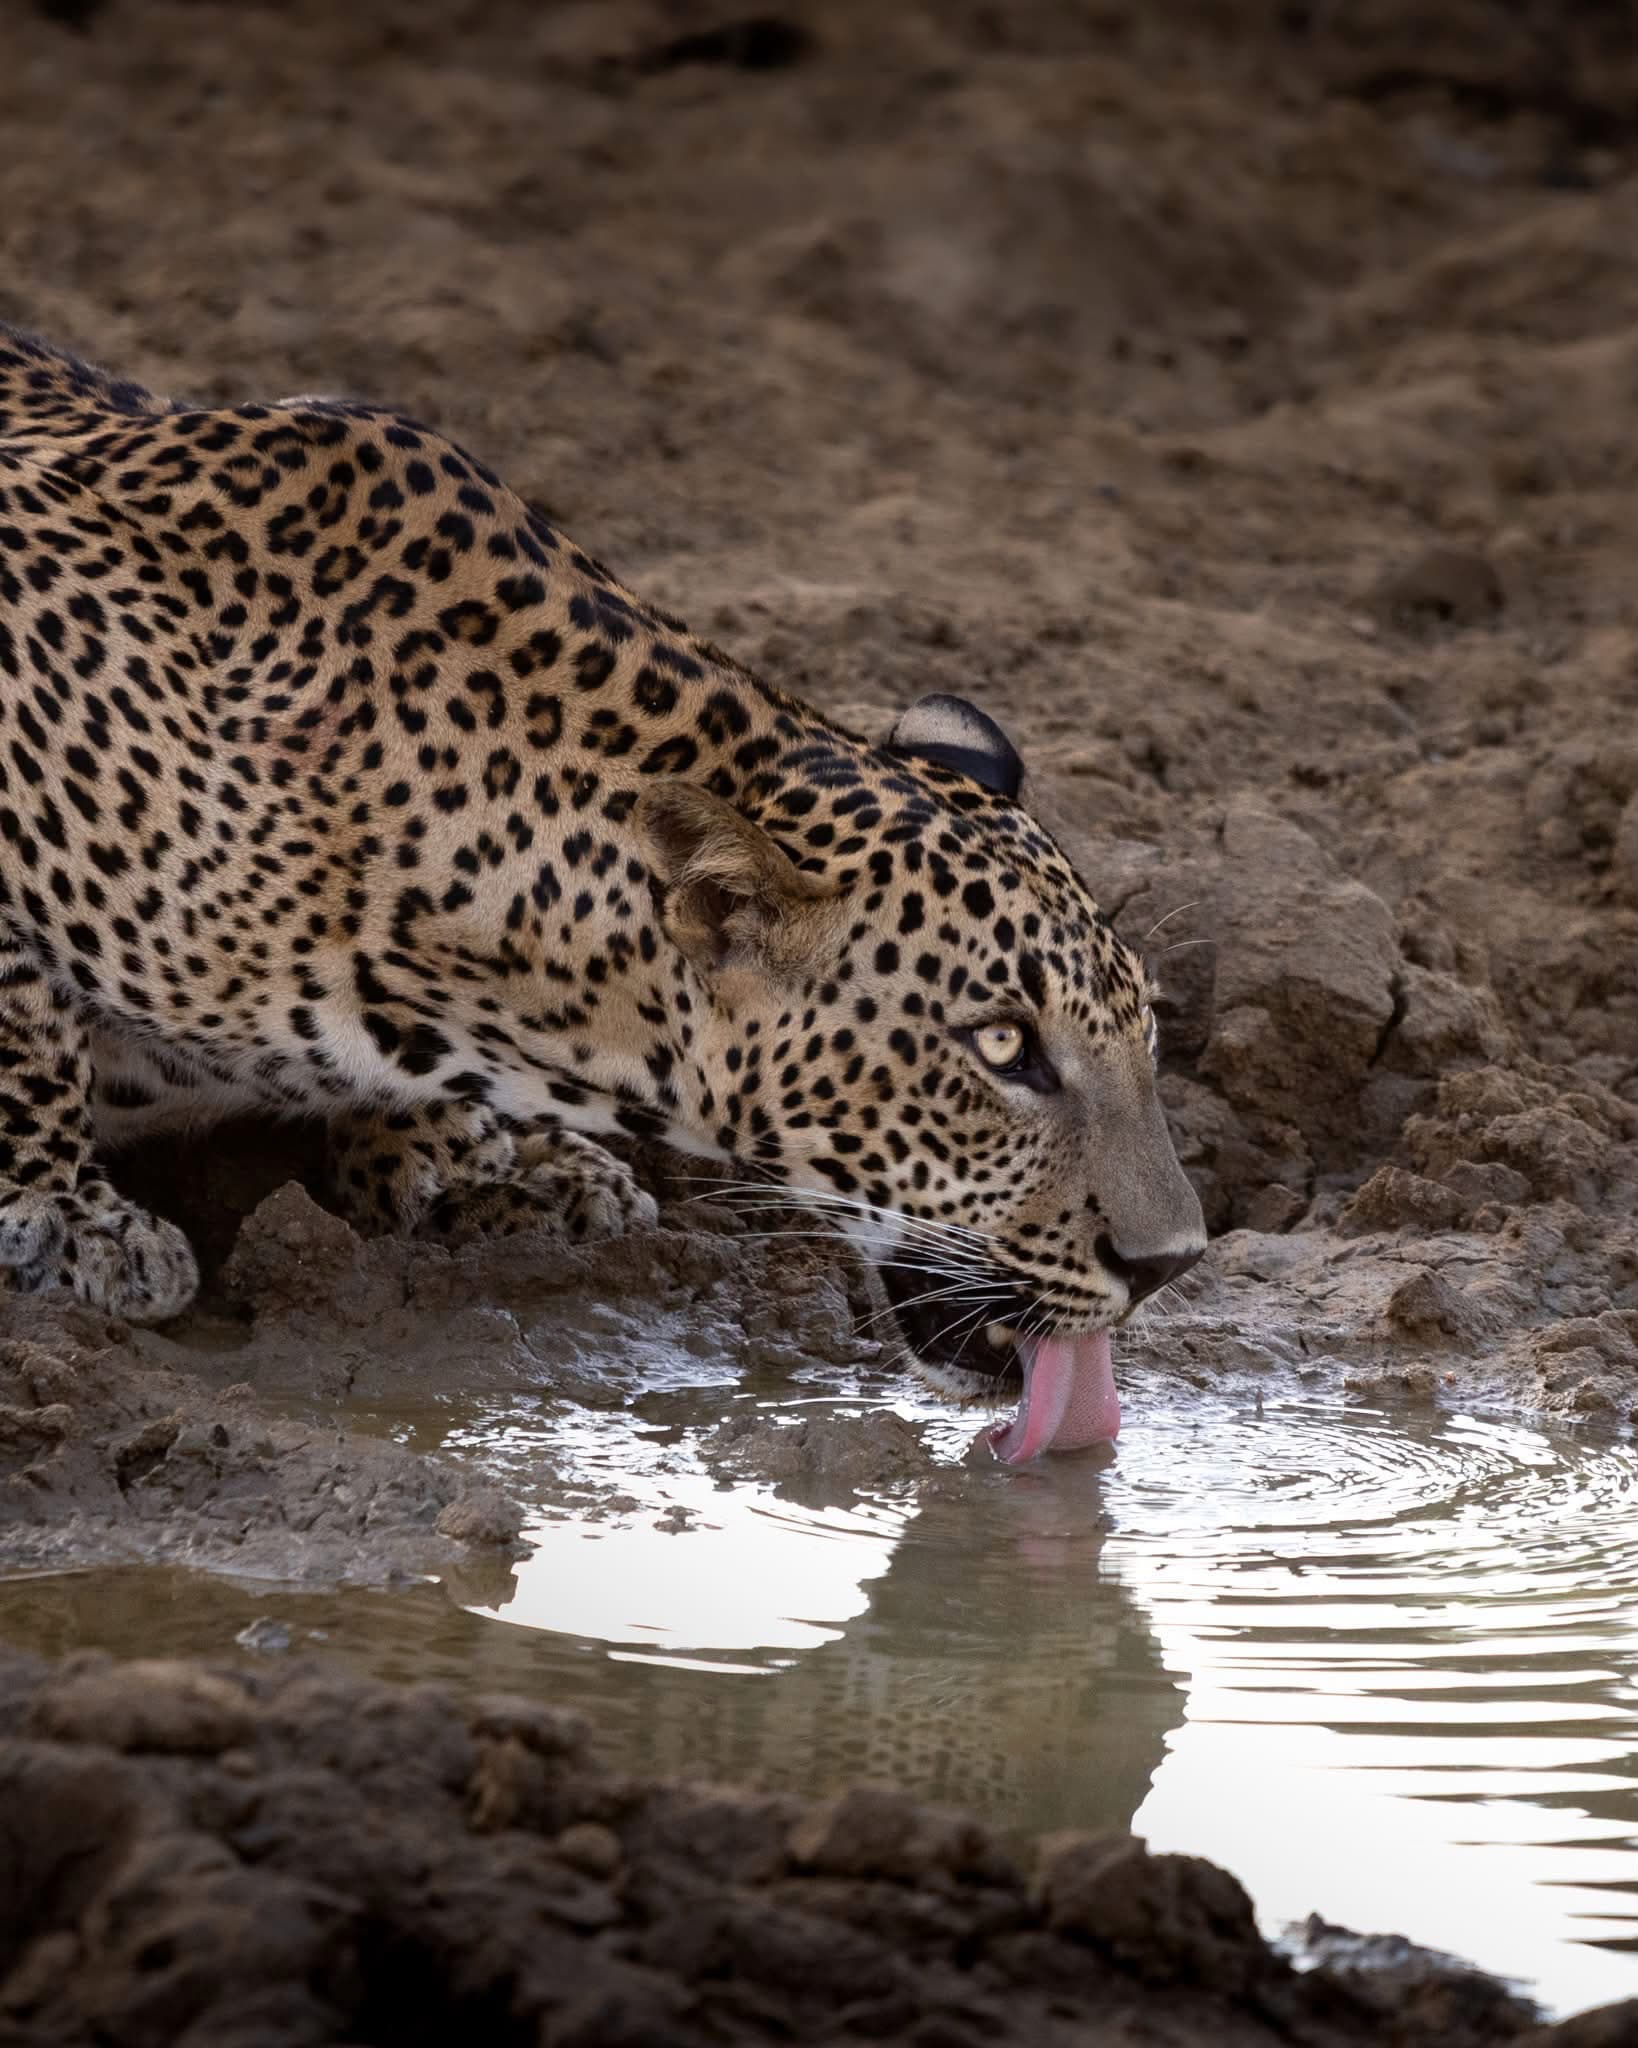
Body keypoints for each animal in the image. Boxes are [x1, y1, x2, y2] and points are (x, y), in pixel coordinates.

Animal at [0, 325, 1204, 1456]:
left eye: (1146, 1030)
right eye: (1003, 1047)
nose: (1170, 1263)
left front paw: (470, 1159)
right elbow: (27, 1023)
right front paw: (65, 1219)